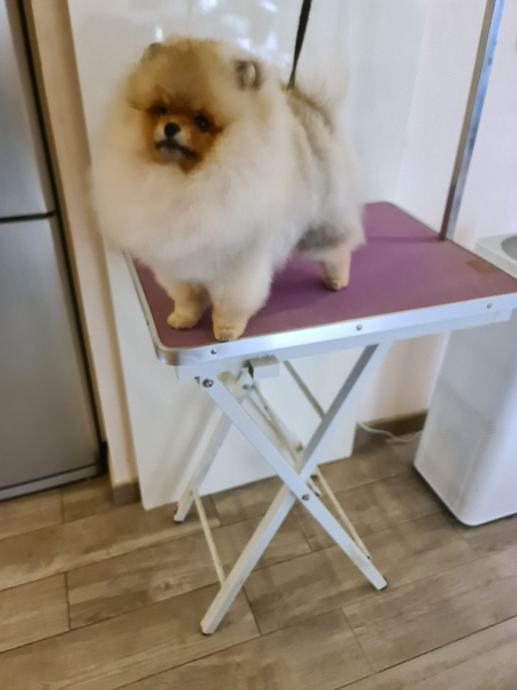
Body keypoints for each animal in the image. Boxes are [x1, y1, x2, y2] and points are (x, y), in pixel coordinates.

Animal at [92, 37, 364, 341]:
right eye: (160, 110)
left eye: (202, 121)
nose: (170, 127)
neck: (186, 180)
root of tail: (313, 111)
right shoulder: (177, 261)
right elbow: (187, 295)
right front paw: (183, 318)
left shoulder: (237, 265)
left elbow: (231, 301)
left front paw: (226, 329)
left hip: (323, 219)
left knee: (337, 248)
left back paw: (337, 278)